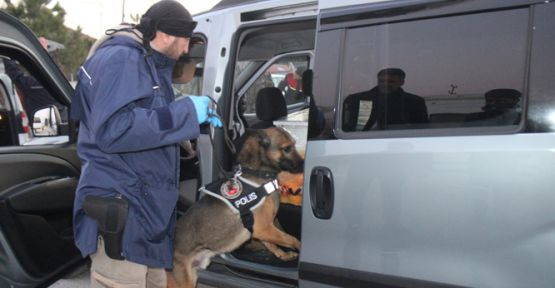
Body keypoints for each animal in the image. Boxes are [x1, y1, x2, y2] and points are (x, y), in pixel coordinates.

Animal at [168, 127, 304, 288]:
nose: (304, 164)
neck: (257, 172)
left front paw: (284, 255)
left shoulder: (263, 229)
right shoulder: (263, 227)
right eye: (287, 148)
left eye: (294, 144)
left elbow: (272, 245)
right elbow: (291, 239)